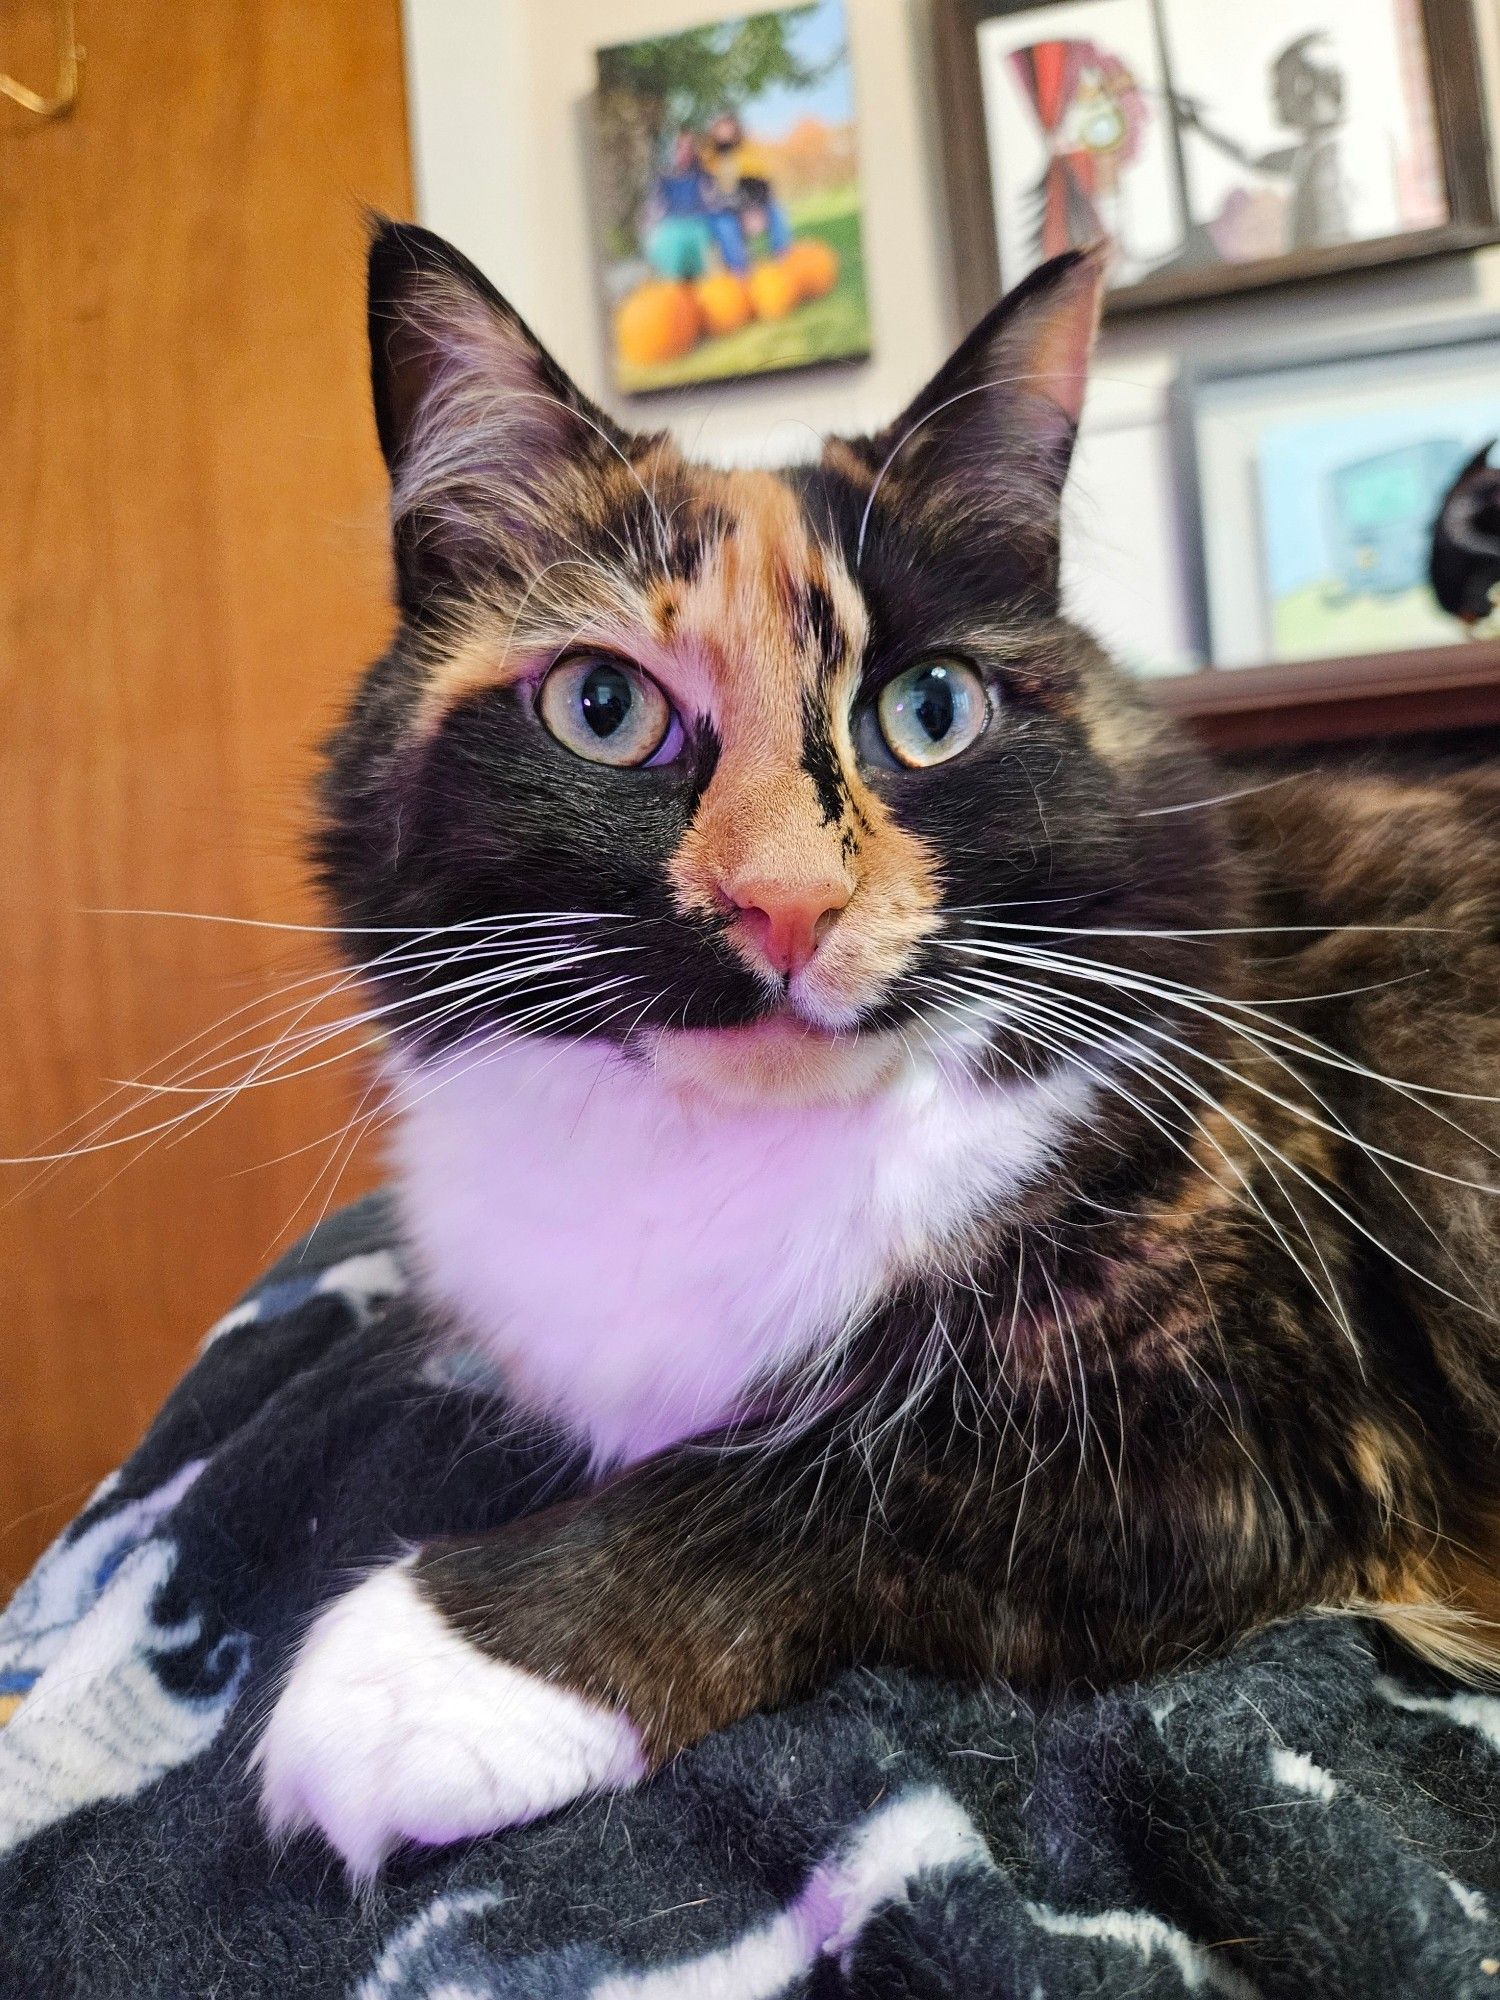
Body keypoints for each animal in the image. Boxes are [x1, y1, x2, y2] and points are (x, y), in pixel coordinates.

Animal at [256, 227, 1500, 1880]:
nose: (788, 902)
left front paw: (435, 1664)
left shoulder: (1261, 1409)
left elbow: (843, 1469)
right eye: (604, 706)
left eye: (932, 707)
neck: (717, 1160)